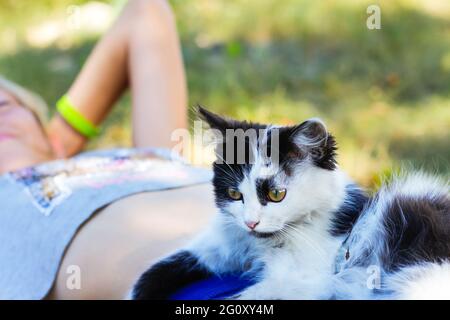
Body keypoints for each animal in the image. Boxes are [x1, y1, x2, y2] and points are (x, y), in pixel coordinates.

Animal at [132, 107, 450, 300]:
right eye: (234, 194)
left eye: (276, 194)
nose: (250, 222)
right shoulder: (217, 245)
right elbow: (151, 274)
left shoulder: (313, 280)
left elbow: (248, 295)